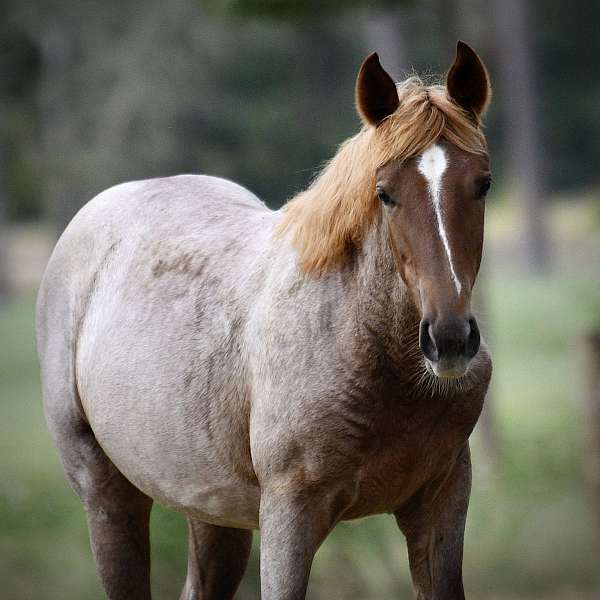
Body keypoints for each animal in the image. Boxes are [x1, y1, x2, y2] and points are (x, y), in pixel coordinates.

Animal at [38, 39, 496, 596]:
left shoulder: (442, 502)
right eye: (385, 193)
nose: (449, 338)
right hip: (107, 497)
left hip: (213, 512)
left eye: (483, 184)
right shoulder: (289, 514)